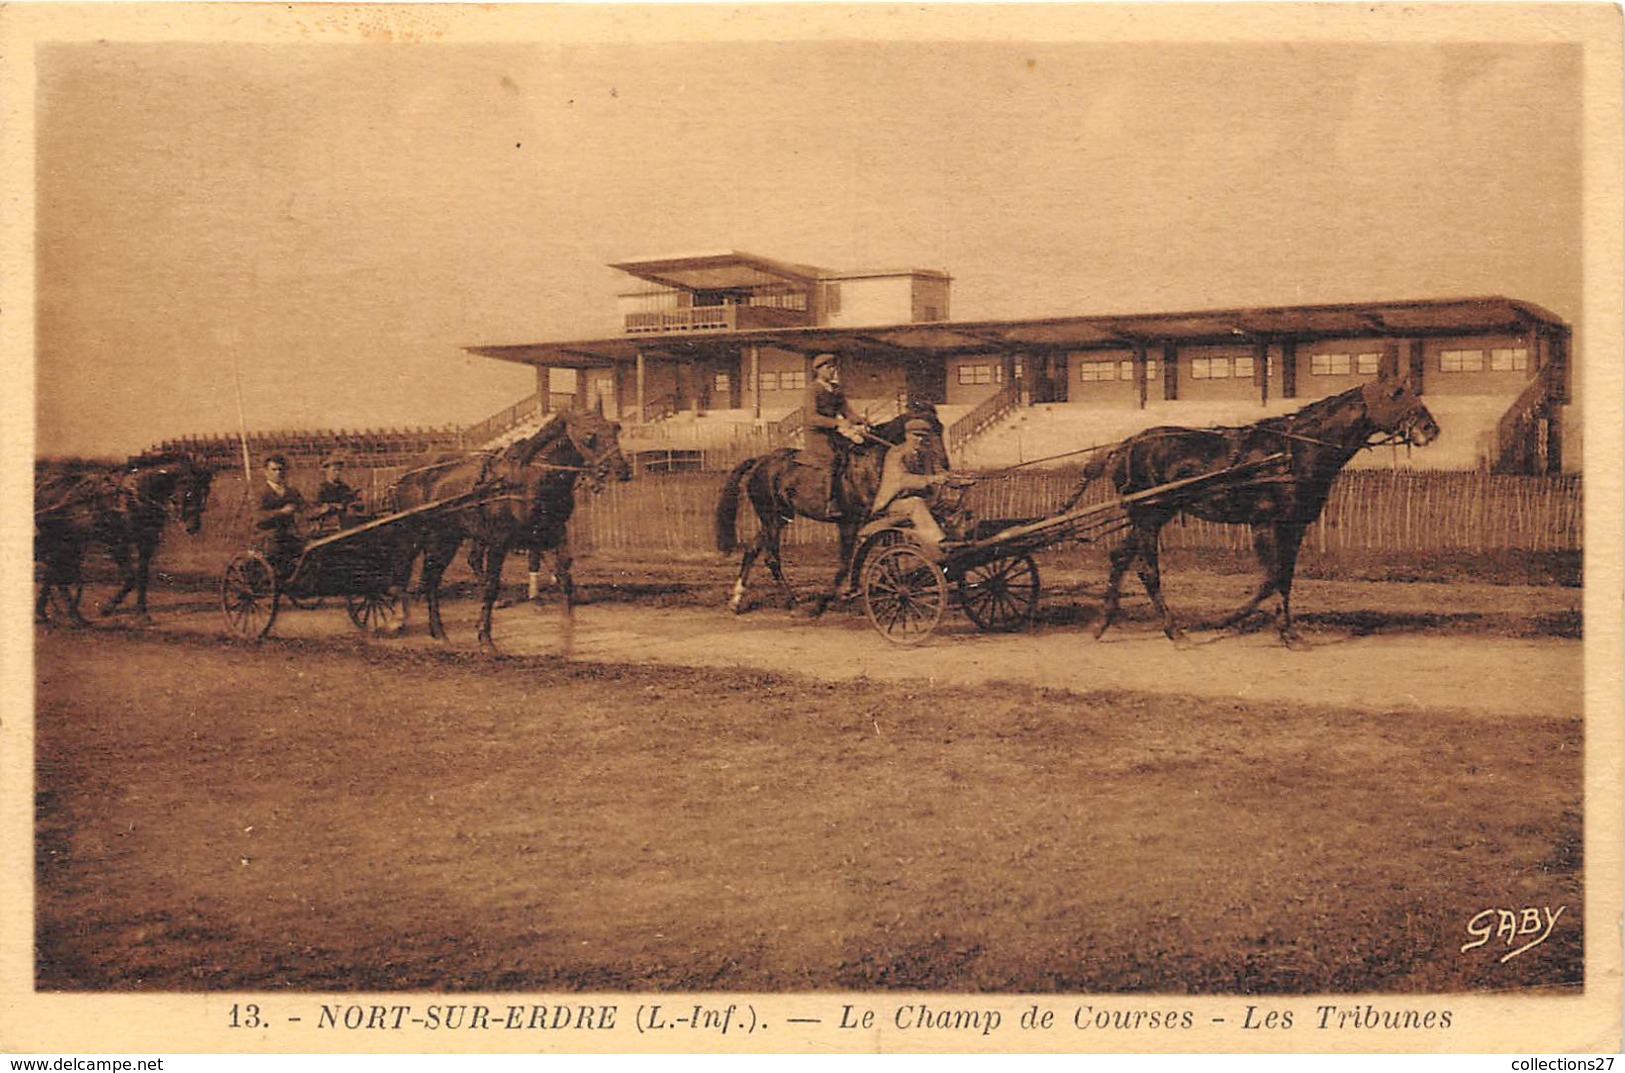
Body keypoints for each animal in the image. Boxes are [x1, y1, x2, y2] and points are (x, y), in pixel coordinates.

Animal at [32, 451, 212, 624]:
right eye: (189, 494)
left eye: (203, 494)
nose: (193, 527)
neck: (133, 497)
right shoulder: (117, 543)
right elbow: (130, 578)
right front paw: (107, 608)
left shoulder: (147, 542)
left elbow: (142, 577)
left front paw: (141, 613)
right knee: (53, 570)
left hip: (67, 539)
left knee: (51, 571)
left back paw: (46, 612)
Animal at [390, 406, 630, 650]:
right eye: (590, 435)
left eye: (616, 428)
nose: (622, 470)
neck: (528, 480)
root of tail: (408, 472)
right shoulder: (499, 541)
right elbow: (492, 586)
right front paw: (485, 637)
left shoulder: (551, 534)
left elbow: (565, 578)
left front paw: (567, 635)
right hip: (417, 535)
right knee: (406, 570)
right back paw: (399, 620)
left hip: (447, 537)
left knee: (432, 579)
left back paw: (439, 632)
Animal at [715, 404, 949, 621]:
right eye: (925, 434)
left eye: (941, 428)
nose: (945, 464)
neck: (871, 461)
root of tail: (760, 460)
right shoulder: (849, 522)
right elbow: (846, 564)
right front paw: (825, 602)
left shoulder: (883, 519)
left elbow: (889, 557)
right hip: (771, 517)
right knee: (772, 558)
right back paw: (792, 602)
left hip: (779, 518)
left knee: (752, 550)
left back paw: (736, 601)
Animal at [1072, 377, 1443, 647]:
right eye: (1396, 395)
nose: (1430, 429)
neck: (1293, 452)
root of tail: (1124, 446)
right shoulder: (1265, 522)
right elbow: (1270, 579)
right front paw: (1231, 619)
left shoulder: (1294, 526)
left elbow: (1284, 578)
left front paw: (1289, 633)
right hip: (1149, 515)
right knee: (1148, 571)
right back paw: (1174, 631)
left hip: (1147, 516)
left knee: (1120, 557)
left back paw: (1103, 622)